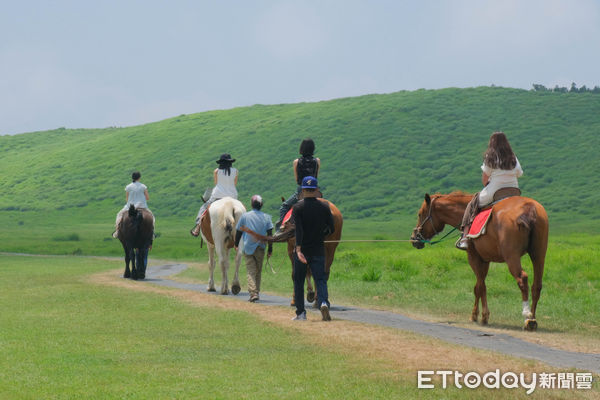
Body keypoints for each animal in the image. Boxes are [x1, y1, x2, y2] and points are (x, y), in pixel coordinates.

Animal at [410, 192, 548, 330]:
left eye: (420, 214)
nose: (413, 238)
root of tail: (529, 208)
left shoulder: (474, 257)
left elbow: (480, 286)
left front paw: (482, 316)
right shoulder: (485, 260)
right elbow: (479, 286)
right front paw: (476, 314)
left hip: (512, 257)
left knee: (522, 279)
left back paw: (527, 316)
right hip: (539, 255)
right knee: (537, 285)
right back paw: (533, 318)